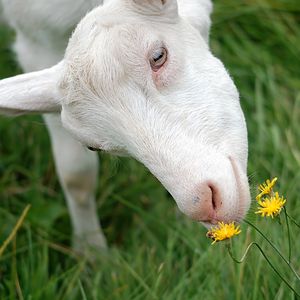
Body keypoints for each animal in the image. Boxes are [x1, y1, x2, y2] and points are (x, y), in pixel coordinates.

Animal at [0, 0, 251, 252]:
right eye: (93, 147)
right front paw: (91, 250)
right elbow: (76, 176)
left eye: (158, 56)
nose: (202, 205)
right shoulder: (36, 38)